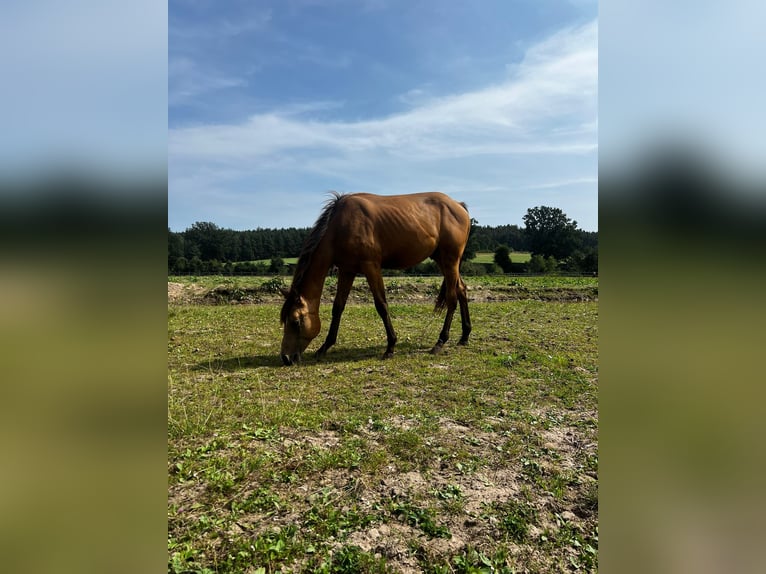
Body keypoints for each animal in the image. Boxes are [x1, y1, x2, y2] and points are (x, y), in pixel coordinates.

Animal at [282, 191, 474, 366]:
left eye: (295, 321)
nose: (286, 358)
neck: (340, 226)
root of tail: (458, 205)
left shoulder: (371, 266)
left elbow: (381, 305)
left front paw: (390, 346)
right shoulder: (347, 270)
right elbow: (338, 307)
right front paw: (324, 347)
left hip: (450, 261)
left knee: (452, 299)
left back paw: (440, 342)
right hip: (443, 261)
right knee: (461, 290)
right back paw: (464, 336)